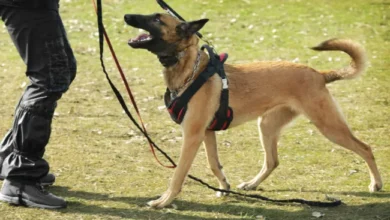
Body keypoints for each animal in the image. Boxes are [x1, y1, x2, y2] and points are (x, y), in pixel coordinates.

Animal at [123, 12, 382, 208]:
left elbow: (178, 174)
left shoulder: (193, 135)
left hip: (329, 126)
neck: (190, 70)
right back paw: (252, 184)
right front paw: (224, 187)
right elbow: (214, 164)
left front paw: (163, 201)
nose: (127, 16)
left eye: (157, 18)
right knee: (272, 161)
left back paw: (376, 184)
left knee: (366, 148)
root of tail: (319, 74)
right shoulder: (206, 133)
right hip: (266, 126)